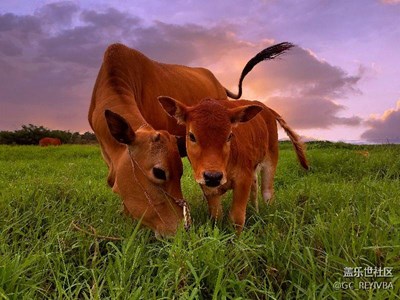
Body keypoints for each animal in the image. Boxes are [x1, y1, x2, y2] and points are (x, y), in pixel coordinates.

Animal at [158, 97, 308, 233]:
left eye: (230, 136)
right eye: (191, 136)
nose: (213, 176)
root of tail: (266, 108)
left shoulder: (243, 179)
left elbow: (236, 219)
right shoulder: (208, 187)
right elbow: (216, 216)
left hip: (271, 157)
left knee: (267, 192)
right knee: (255, 188)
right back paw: (255, 212)